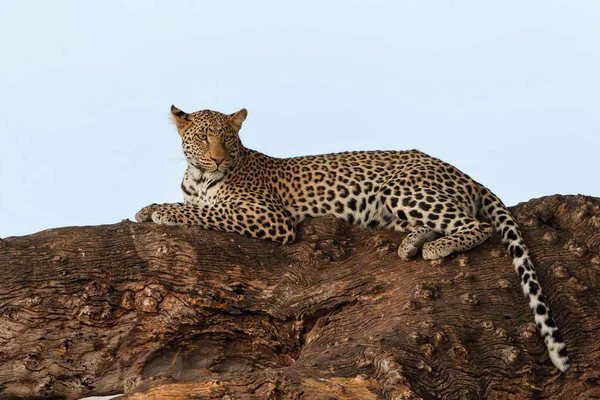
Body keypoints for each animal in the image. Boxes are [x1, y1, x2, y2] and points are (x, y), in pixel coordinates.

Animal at [137, 105, 572, 372]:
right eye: (203, 137)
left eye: (229, 139)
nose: (219, 159)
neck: (198, 178)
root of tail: (461, 172)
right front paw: (146, 208)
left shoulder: (270, 217)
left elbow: (209, 212)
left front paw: (162, 211)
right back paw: (412, 243)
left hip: (402, 188)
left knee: (474, 225)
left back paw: (435, 247)